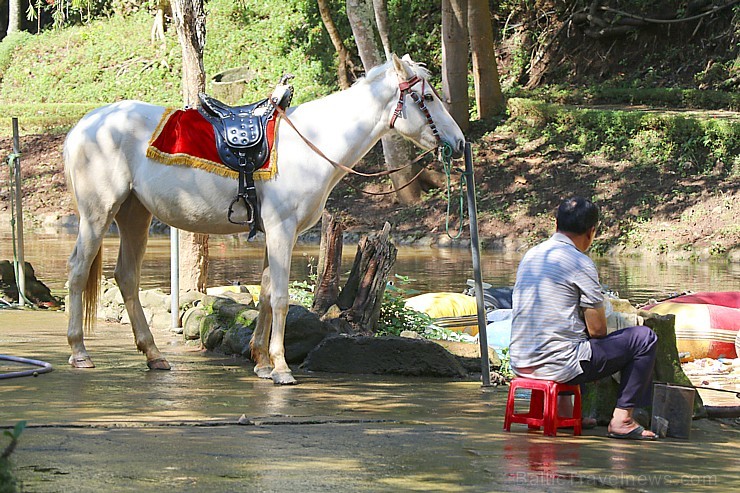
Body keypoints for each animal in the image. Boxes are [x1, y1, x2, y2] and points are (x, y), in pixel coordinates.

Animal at [66, 54, 466, 384]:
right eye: (428, 98)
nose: (460, 143)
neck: (312, 145)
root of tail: (83, 126)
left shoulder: (278, 233)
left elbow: (265, 293)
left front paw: (260, 361)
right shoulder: (281, 229)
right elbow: (282, 298)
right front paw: (282, 368)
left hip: (135, 214)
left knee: (126, 277)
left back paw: (154, 355)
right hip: (98, 215)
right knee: (78, 271)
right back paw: (80, 352)